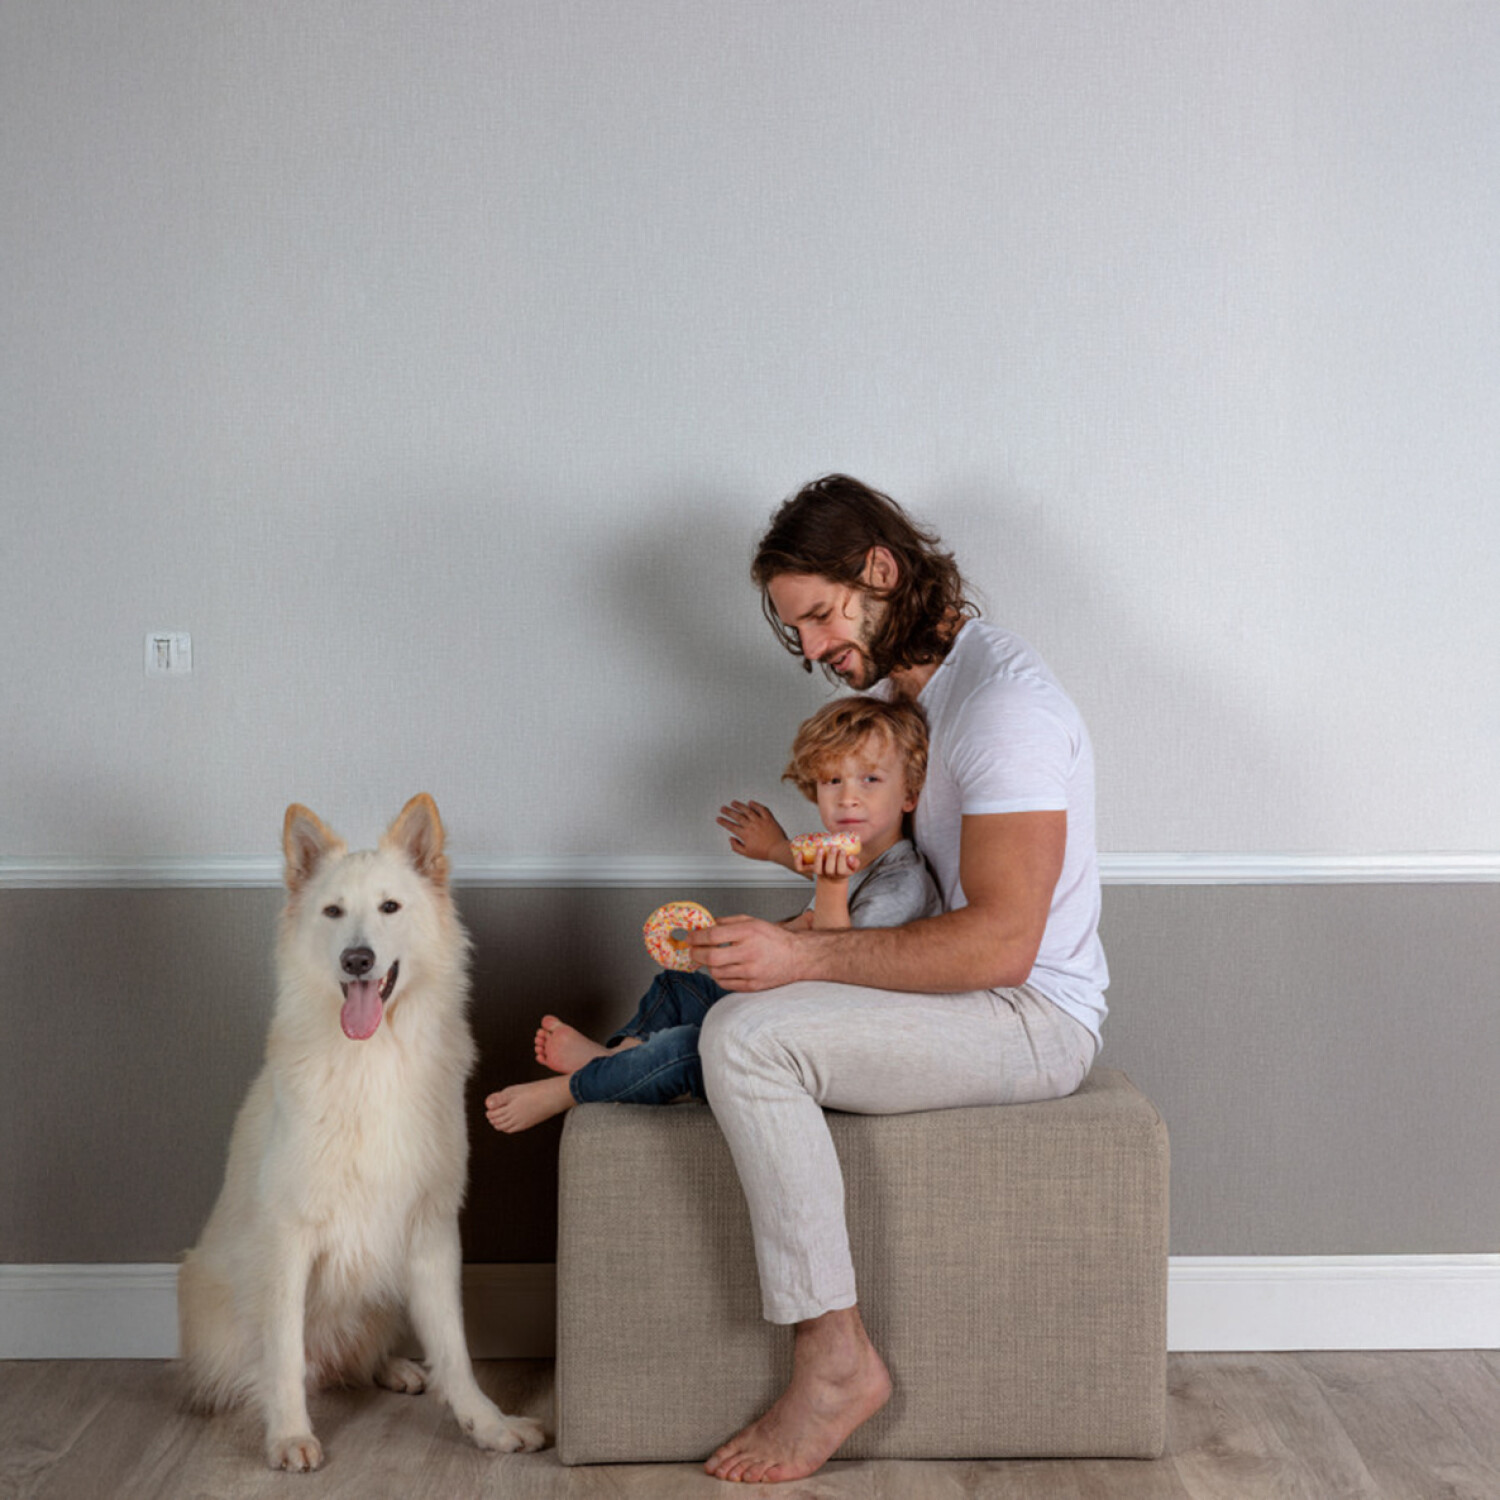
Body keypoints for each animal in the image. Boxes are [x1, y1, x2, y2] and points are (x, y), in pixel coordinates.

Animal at [178, 793, 545, 1470]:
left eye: (389, 907)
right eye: (333, 912)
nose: (357, 960)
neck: (372, 1056)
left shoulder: (432, 1231)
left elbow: (455, 1348)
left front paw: (486, 1424)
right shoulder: (289, 1236)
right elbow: (284, 1353)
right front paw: (289, 1434)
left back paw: (395, 1368)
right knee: (284, 1365)